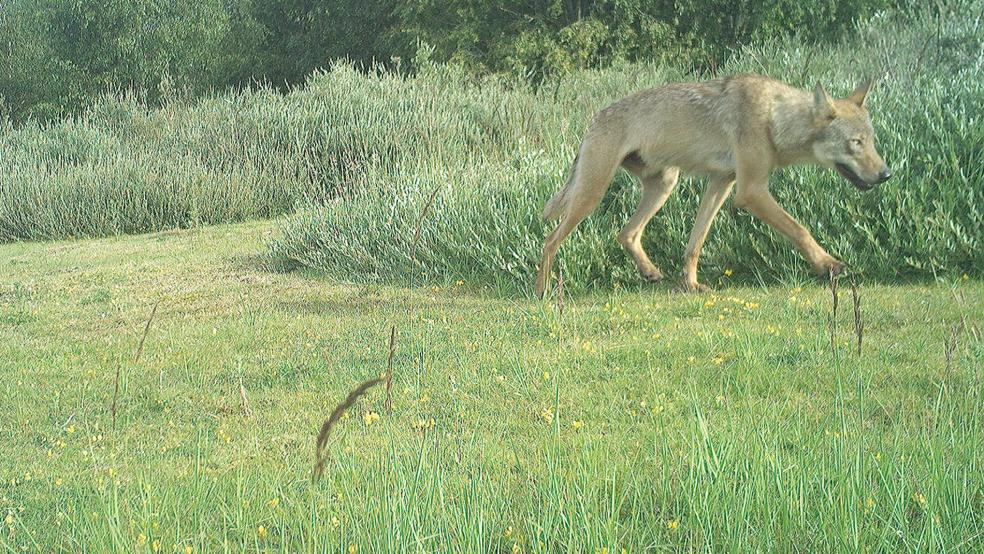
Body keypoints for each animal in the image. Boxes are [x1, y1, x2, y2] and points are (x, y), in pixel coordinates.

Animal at [534, 74, 892, 297]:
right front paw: (828, 265)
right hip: (592, 195)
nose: (886, 174)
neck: (775, 117)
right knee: (550, 240)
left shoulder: (721, 182)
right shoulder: (750, 191)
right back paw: (542, 292)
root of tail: (594, 118)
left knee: (627, 233)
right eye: (855, 143)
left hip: (665, 184)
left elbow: (695, 243)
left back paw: (650, 272)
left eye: (872, 141)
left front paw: (691, 286)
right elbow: (800, 229)